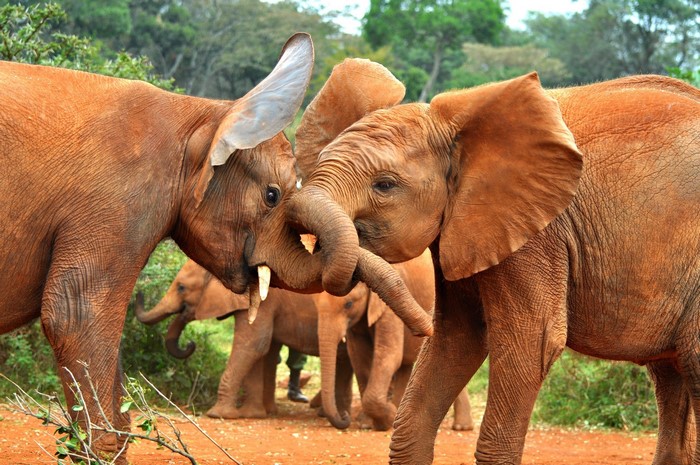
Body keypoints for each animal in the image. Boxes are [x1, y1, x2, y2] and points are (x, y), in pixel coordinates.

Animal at [135, 259, 358, 420]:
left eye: (181, 287)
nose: (190, 344)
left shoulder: (264, 300)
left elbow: (253, 344)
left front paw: (219, 415)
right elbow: (263, 350)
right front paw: (257, 414)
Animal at [285, 57, 700, 464]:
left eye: (384, 185)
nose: (419, 326)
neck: (454, 125)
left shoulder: (536, 234)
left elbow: (534, 341)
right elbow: (456, 337)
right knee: (670, 376)